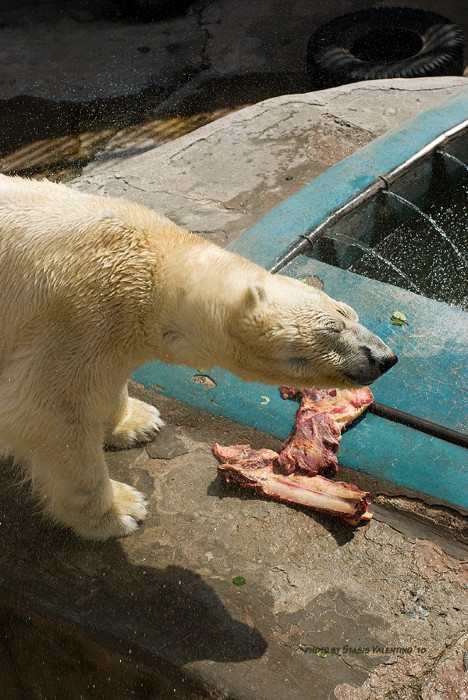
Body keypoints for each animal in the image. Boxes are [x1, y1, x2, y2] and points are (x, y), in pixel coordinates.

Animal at [0, 178, 394, 540]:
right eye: (332, 327)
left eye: (349, 313)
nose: (385, 357)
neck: (153, 260)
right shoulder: (75, 314)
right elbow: (52, 413)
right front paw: (120, 511)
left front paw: (138, 422)